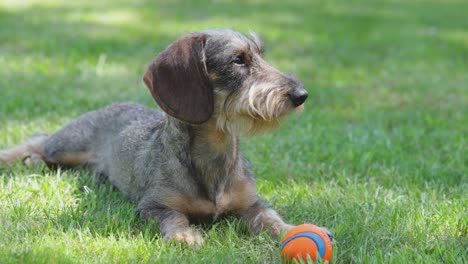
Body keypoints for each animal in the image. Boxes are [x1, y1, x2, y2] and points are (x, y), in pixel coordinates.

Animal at [0, 29, 310, 248]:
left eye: (261, 55)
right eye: (238, 60)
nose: (301, 95)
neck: (216, 153)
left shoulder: (251, 204)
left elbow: (270, 218)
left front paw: (292, 231)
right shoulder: (152, 206)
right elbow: (174, 216)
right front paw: (184, 236)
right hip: (66, 145)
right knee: (38, 140)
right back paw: (18, 158)